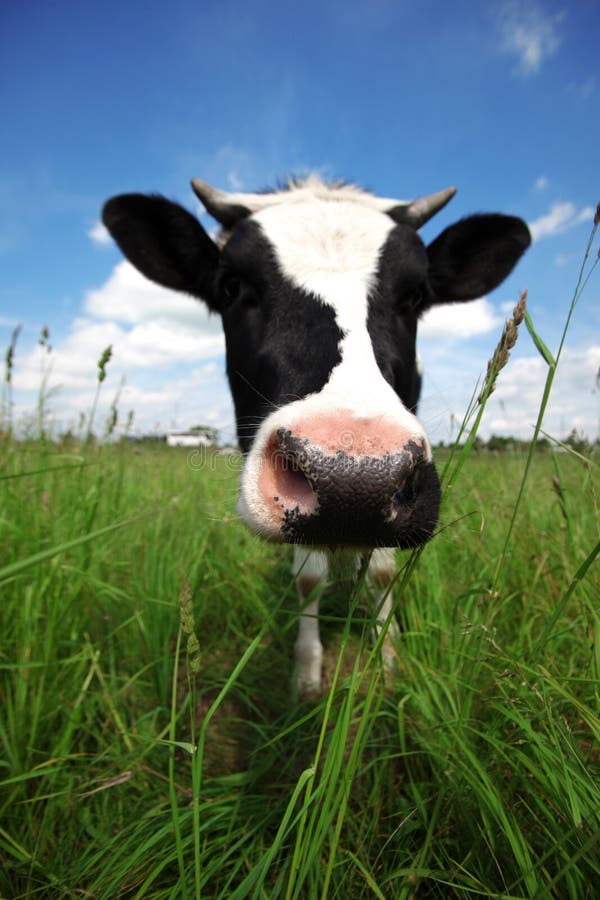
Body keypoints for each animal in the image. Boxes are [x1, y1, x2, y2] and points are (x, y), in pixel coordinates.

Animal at [102, 175, 530, 695]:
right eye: (230, 287)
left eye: (415, 295)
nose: (354, 479)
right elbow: (307, 578)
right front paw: (307, 671)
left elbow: (383, 572)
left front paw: (387, 658)